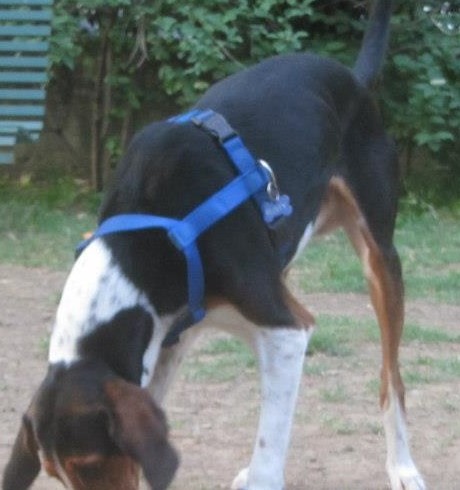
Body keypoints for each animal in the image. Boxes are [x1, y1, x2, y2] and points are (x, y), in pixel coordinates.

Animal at [4, 0, 428, 490]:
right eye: (55, 471)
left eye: (89, 462)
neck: (152, 239)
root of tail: (352, 77)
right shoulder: (170, 342)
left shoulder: (286, 329)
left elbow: (268, 455)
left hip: (380, 259)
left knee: (391, 378)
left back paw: (403, 467)